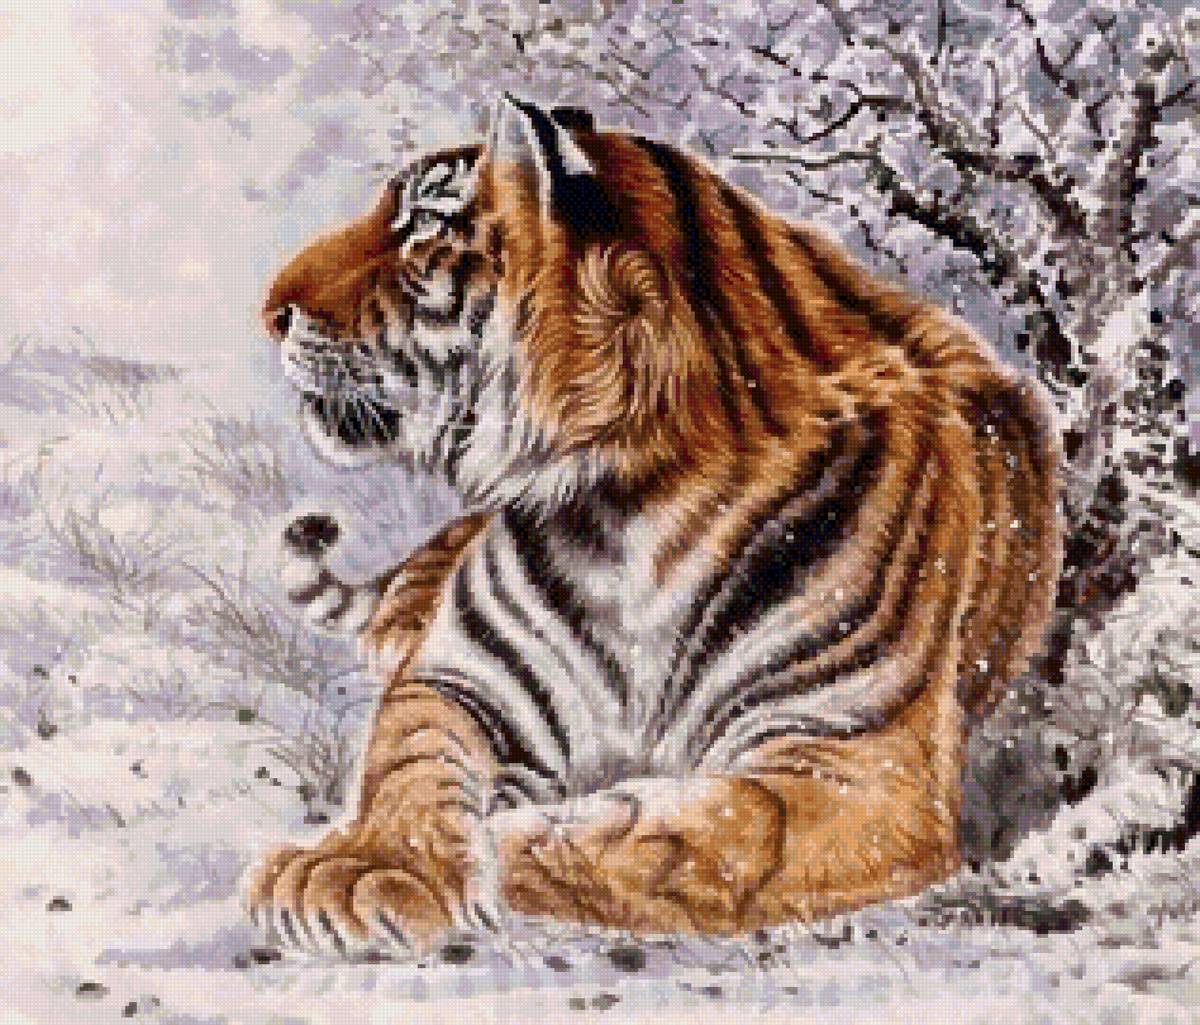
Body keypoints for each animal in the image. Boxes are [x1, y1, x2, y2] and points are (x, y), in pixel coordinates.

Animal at [245, 95, 1062, 956]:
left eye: (421, 228)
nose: (270, 313)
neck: (633, 507)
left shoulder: (856, 755)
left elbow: (710, 829)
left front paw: (503, 841)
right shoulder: (460, 679)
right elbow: (408, 759)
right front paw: (367, 864)